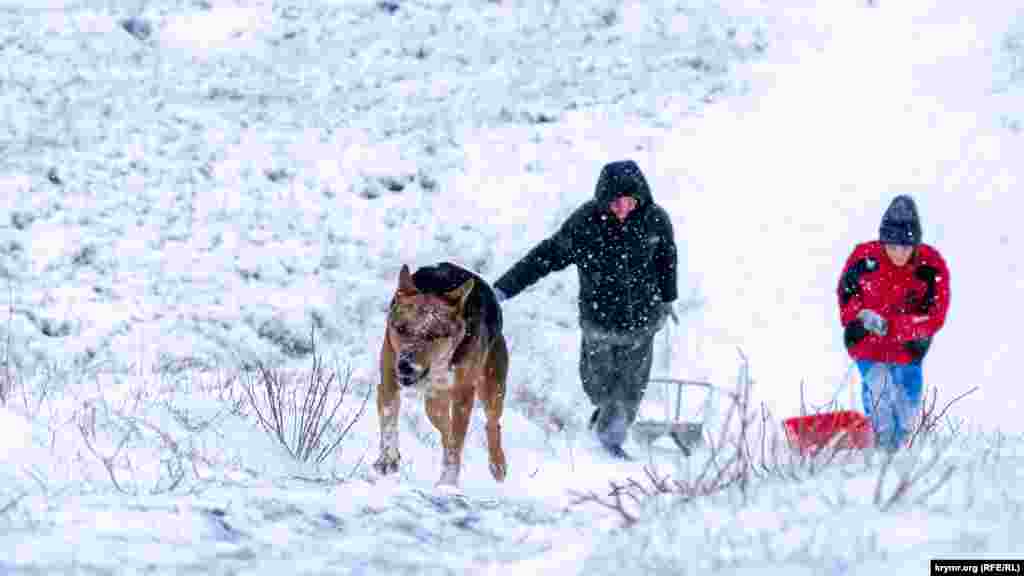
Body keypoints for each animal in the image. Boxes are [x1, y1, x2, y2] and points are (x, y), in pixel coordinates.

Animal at [372, 264, 507, 483]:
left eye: (433, 335)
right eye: (401, 329)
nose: (405, 366)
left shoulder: (463, 397)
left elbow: (457, 445)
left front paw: (448, 483)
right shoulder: (388, 379)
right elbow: (389, 419)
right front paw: (387, 459)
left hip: (491, 390)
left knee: (492, 423)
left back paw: (497, 465)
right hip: (433, 404)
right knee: (446, 432)